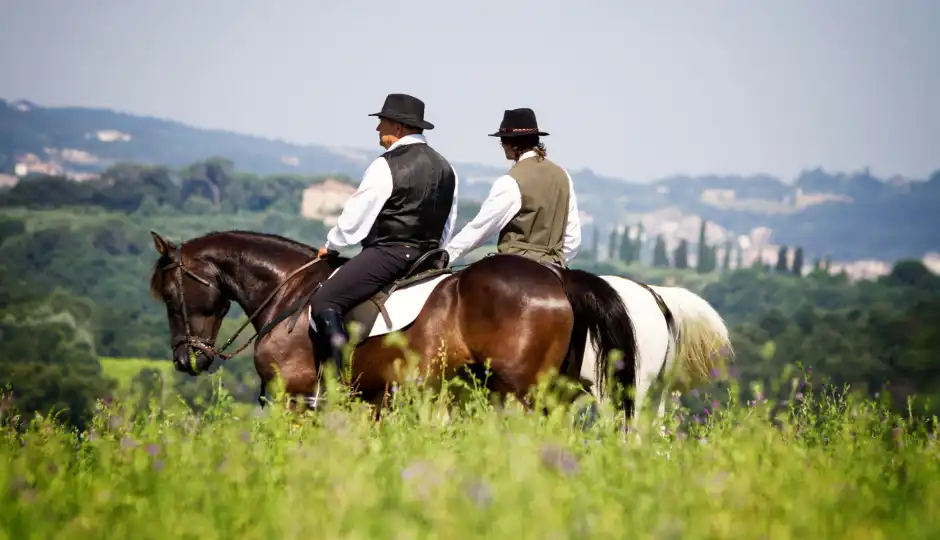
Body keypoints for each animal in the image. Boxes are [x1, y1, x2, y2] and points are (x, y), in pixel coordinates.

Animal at [149, 230, 640, 416]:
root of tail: (559, 279)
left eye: (170, 295)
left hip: (523, 391)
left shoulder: (294, 397)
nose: (186, 361)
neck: (289, 291)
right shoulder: (373, 400)